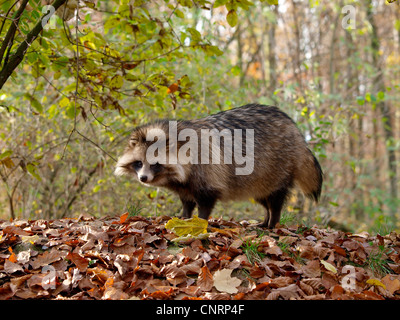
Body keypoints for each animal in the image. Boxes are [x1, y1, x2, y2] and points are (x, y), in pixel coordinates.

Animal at [115, 104, 322, 228]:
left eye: (155, 164)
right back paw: (266, 220)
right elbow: (186, 200)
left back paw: (273, 222)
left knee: (275, 199)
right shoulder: (185, 184)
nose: (143, 178)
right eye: (139, 163)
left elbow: (206, 200)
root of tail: (295, 130)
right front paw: (185, 216)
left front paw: (200, 221)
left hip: (277, 166)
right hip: (259, 179)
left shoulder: (208, 170)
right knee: (264, 199)